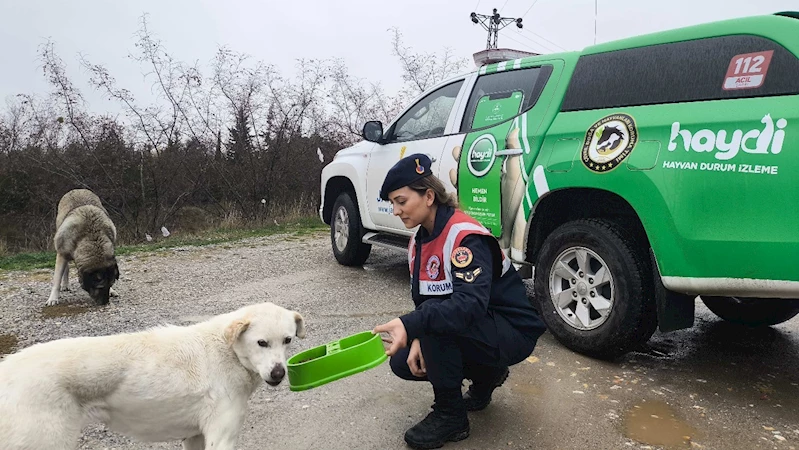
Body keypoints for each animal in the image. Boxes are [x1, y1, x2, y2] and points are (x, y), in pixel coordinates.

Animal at [0, 302, 306, 450]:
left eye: (288, 340)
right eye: (261, 343)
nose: (279, 373)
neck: (226, 349)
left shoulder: (194, 436)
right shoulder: (221, 438)